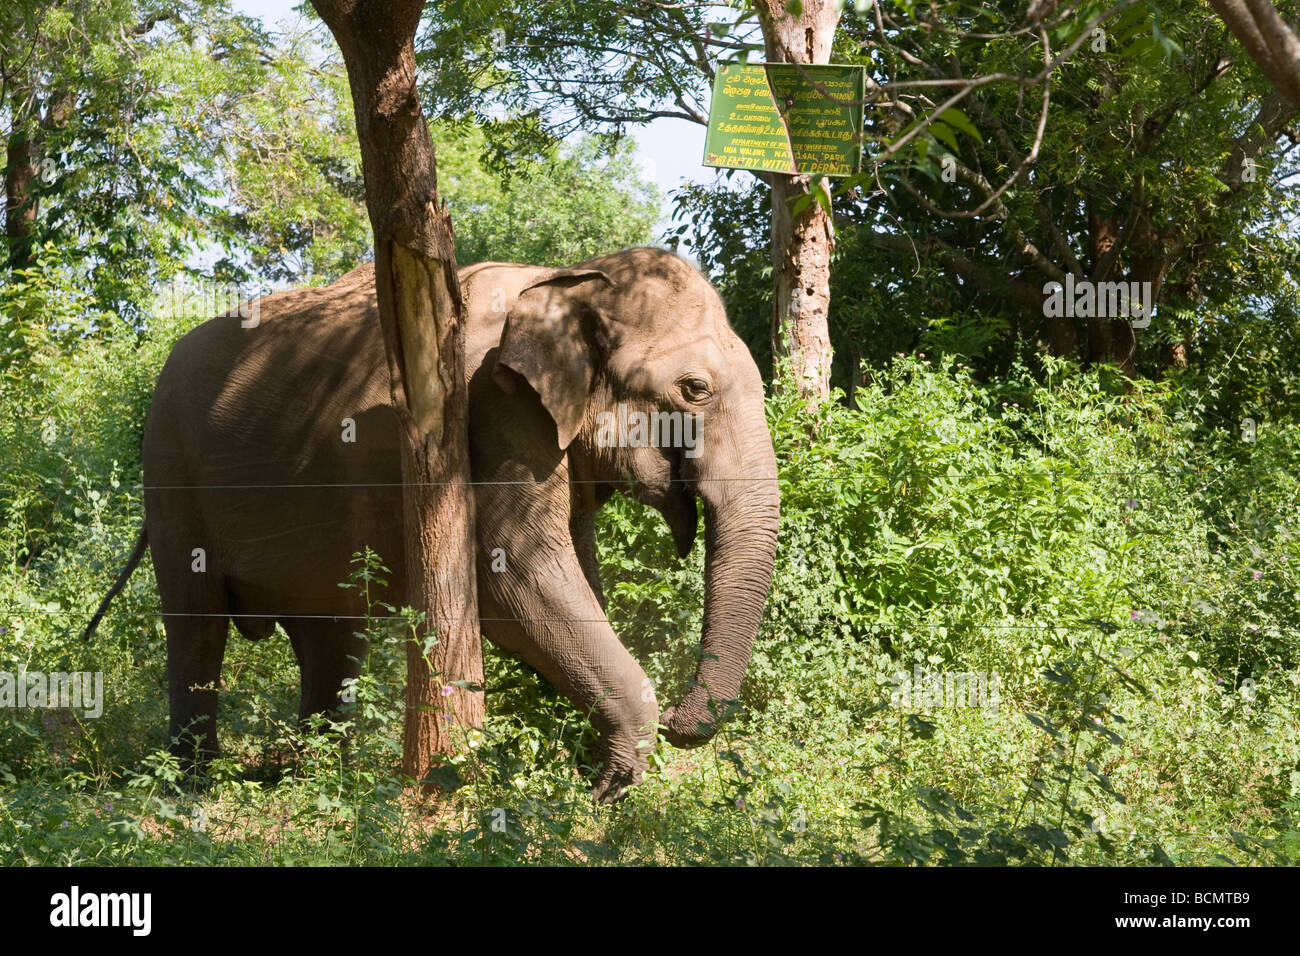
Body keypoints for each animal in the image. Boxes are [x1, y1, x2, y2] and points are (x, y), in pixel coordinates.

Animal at [89, 247, 780, 801]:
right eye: (695, 388)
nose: (681, 716)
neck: (569, 277)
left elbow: (573, 573)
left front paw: (592, 772)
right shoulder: (491, 406)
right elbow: (512, 575)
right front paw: (610, 784)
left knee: (331, 637)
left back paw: (319, 782)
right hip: (169, 469)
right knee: (197, 623)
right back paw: (191, 785)